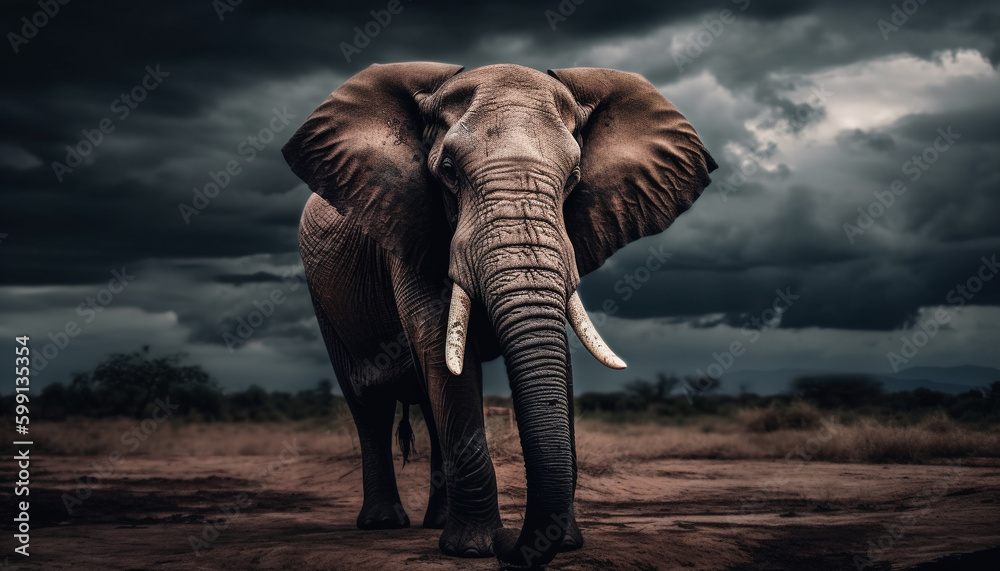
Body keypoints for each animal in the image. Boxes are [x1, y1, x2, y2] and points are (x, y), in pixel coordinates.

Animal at [282, 62, 716, 568]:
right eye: (448, 172)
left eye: (574, 177)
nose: (512, 540)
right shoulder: (408, 223)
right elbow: (440, 346)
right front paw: (474, 548)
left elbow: (555, 353)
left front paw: (558, 544)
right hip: (322, 293)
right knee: (368, 402)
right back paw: (384, 524)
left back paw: (434, 523)